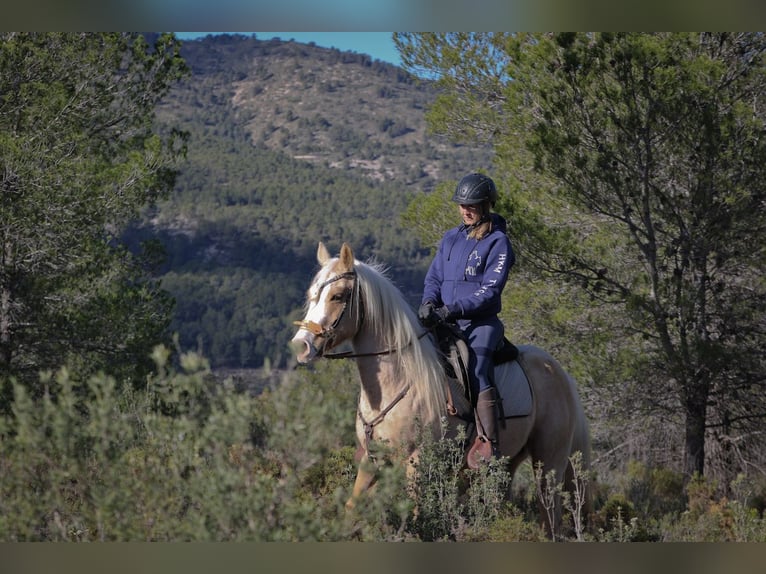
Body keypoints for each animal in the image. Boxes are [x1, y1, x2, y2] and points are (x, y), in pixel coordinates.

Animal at [292, 243, 592, 540]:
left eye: (338, 295)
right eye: (312, 295)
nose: (301, 345)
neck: (400, 381)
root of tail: (560, 373)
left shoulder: (416, 462)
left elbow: (414, 518)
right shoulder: (371, 459)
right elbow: (352, 508)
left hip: (548, 464)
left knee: (550, 517)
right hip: (508, 462)